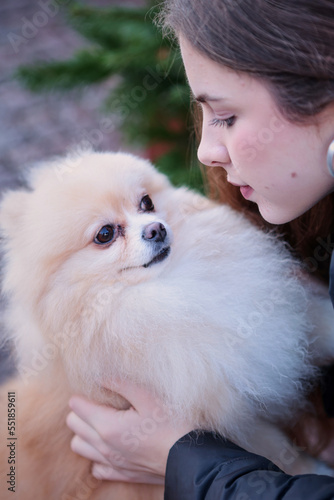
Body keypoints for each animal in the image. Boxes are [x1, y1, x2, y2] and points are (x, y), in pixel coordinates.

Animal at [0, 150, 334, 498]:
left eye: (146, 203)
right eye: (104, 234)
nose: (155, 229)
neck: (169, 289)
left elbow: (315, 319)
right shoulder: (220, 410)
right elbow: (272, 449)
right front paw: (315, 469)